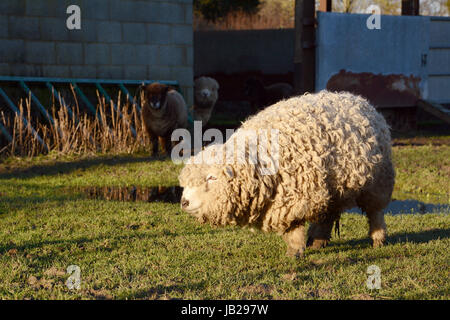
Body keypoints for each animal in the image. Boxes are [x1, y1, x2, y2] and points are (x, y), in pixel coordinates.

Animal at [178, 90, 396, 258]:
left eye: (212, 178)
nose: (184, 202)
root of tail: (359, 100)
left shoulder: (297, 197)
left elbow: (294, 227)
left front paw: (294, 251)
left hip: (378, 182)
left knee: (375, 212)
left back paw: (378, 238)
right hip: (334, 187)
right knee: (328, 214)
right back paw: (318, 240)